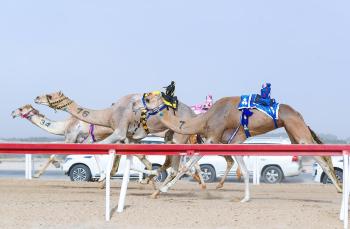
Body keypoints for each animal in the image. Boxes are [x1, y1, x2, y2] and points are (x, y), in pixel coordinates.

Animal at [33, 91, 205, 190]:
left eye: (50, 96)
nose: (36, 98)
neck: (109, 114)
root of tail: (194, 114)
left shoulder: (120, 132)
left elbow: (100, 147)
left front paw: (103, 177)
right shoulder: (130, 137)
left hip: (180, 135)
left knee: (183, 162)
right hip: (171, 136)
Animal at [139, 91, 342, 202]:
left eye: (152, 98)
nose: (143, 99)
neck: (203, 120)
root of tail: (298, 114)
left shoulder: (212, 138)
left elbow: (186, 165)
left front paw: (162, 190)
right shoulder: (233, 142)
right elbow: (243, 170)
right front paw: (244, 198)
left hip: (298, 132)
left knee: (321, 157)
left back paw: (340, 189)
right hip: (293, 133)